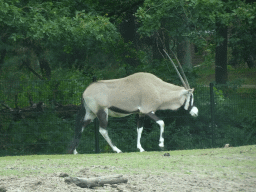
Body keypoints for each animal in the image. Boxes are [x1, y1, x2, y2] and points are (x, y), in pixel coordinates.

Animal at [67, 50, 198, 154]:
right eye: (191, 97)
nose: (196, 112)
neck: (157, 88)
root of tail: (85, 92)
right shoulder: (148, 110)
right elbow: (161, 122)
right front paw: (161, 144)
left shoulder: (141, 113)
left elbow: (139, 129)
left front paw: (140, 148)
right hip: (102, 112)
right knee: (103, 130)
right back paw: (117, 149)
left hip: (91, 113)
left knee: (81, 126)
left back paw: (74, 150)